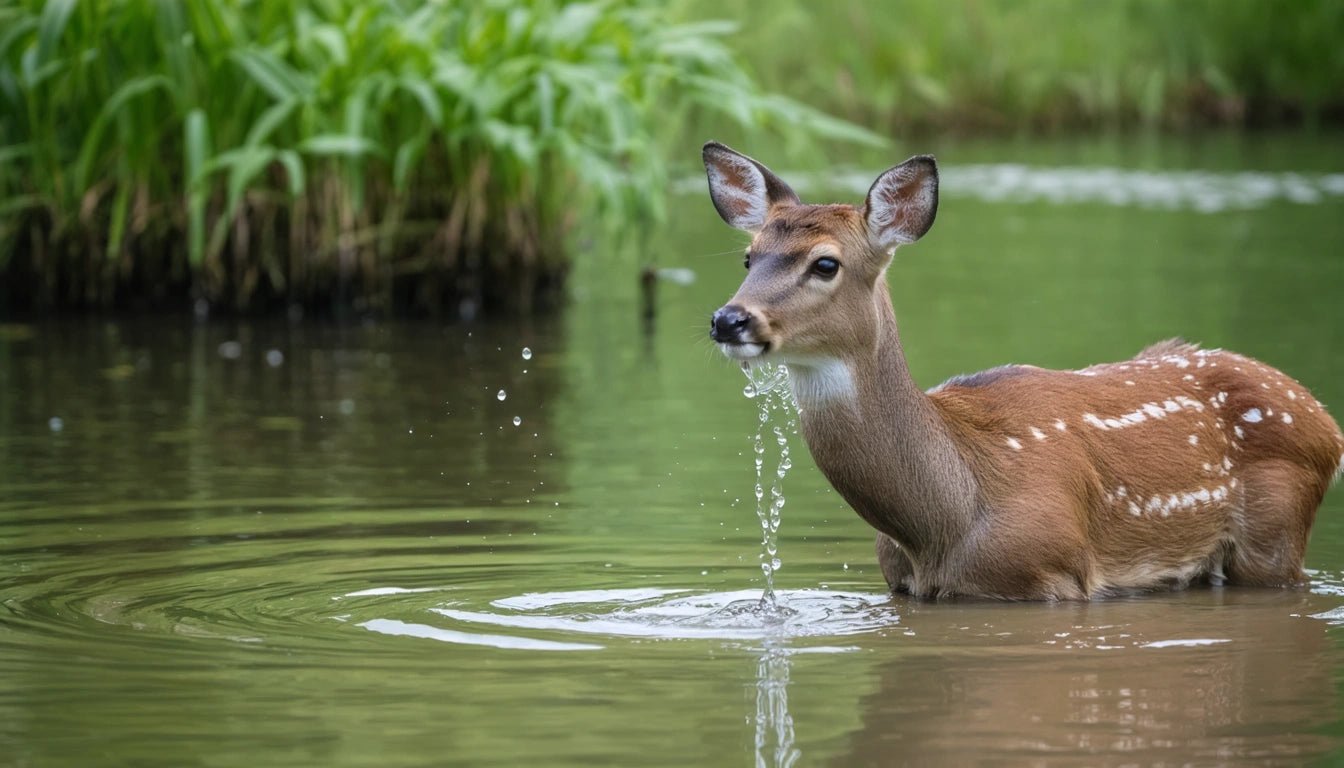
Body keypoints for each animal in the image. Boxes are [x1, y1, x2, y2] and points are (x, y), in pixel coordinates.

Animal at [703, 141, 1344, 600]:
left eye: (826, 263)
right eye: (749, 257)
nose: (729, 319)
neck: (945, 514)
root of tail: (1327, 425)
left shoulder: (1052, 572)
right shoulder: (901, 584)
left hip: (1275, 534)